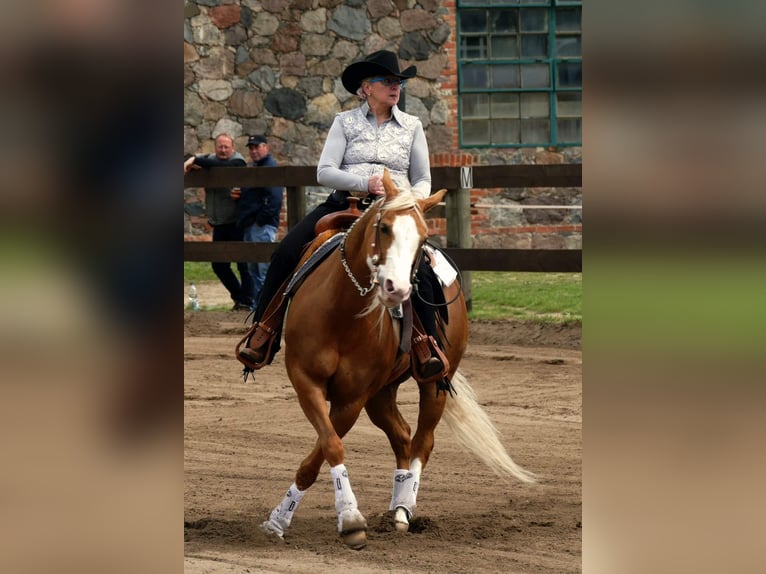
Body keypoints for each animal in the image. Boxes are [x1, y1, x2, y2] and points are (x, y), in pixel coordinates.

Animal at [260, 170, 536, 548]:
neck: (341, 313)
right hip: (381, 394)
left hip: (433, 384)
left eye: (422, 237)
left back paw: (405, 510)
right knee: (402, 435)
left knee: (422, 441)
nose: (398, 289)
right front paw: (281, 519)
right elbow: (329, 446)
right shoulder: (307, 382)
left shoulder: (352, 398)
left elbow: (326, 448)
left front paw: (349, 518)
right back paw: (396, 505)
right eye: (385, 227)